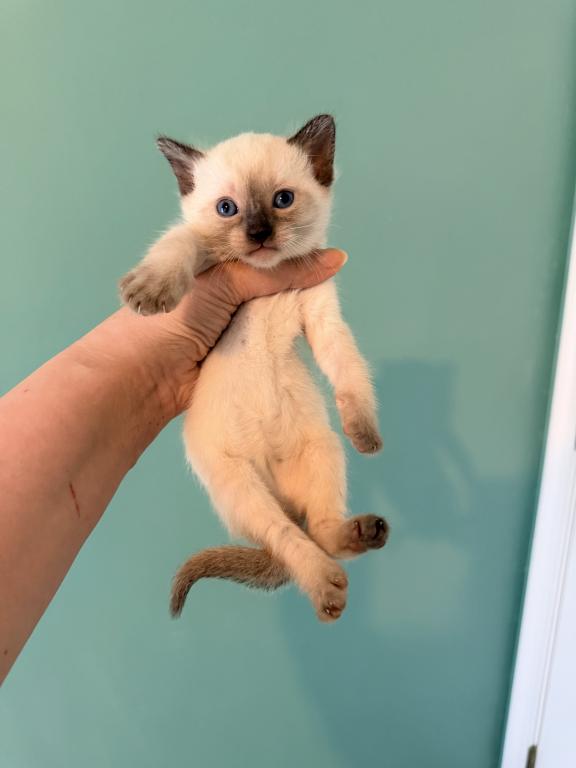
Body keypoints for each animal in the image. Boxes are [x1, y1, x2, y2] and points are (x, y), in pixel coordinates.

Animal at [120, 115, 388, 622]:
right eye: (227, 209)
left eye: (282, 200)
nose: (260, 233)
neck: (267, 278)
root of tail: (279, 491)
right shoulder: (204, 259)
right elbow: (180, 241)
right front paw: (150, 291)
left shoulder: (323, 318)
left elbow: (349, 370)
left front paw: (366, 435)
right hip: (241, 485)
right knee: (289, 539)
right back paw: (326, 589)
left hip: (322, 450)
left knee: (317, 532)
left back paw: (359, 539)